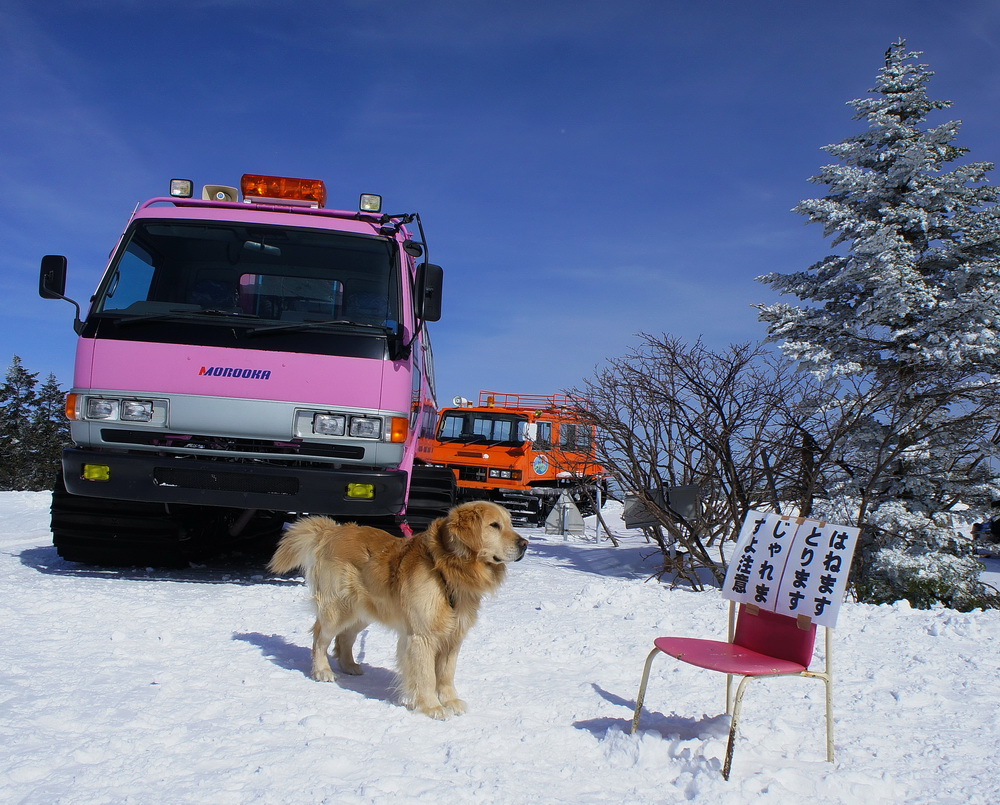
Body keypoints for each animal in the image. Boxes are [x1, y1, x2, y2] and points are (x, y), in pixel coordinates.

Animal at [270, 500, 528, 720]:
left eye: (510, 524)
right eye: (494, 525)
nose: (525, 544)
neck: (447, 569)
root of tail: (333, 530)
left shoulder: (453, 636)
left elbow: (446, 674)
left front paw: (451, 701)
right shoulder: (422, 636)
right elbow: (426, 675)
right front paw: (432, 707)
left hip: (362, 611)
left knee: (345, 637)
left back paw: (349, 665)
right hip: (337, 609)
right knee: (319, 638)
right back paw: (322, 671)